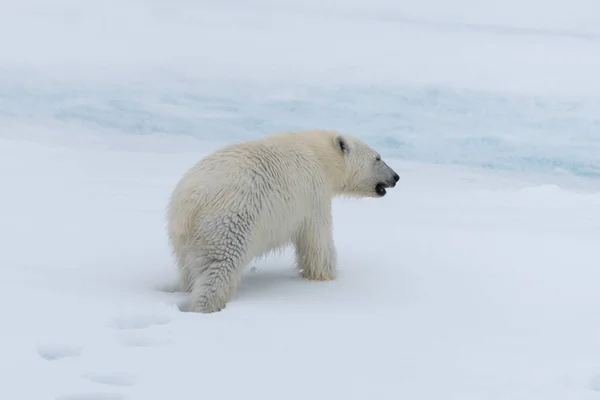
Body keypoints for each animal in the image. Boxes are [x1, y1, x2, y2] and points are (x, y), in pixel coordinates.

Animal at [165, 130, 398, 314]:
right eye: (378, 158)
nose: (396, 177)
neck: (318, 154)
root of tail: (188, 204)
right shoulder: (313, 194)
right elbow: (317, 240)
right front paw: (327, 276)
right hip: (227, 224)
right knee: (219, 269)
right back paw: (207, 306)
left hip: (183, 238)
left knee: (188, 271)